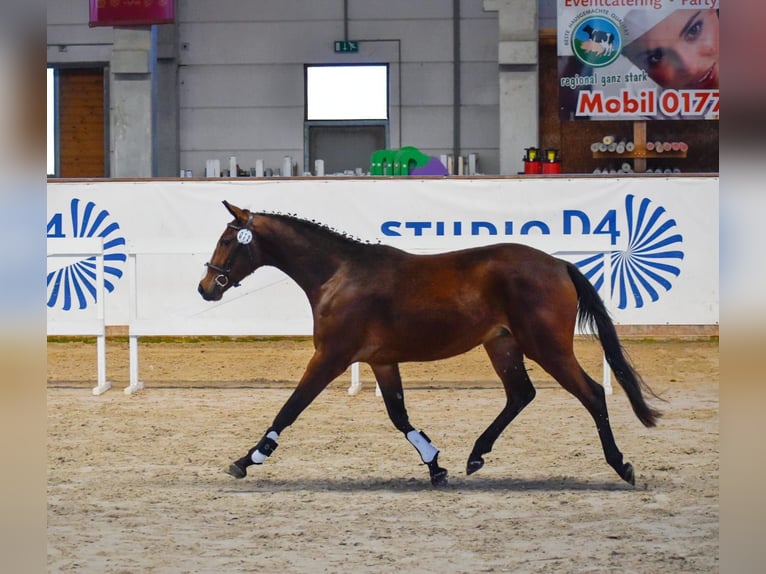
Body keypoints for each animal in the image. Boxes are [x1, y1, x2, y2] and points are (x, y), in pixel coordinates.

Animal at [198, 201, 661, 487]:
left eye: (227, 240)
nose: (206, 288)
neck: (339, 274)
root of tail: (560, 265)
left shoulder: (330, 356)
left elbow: (290, 407)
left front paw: (247, 460)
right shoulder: (381, 362)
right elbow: (399, 416)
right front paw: (435, 464)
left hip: (548, 347)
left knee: (592, 394)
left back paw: (621, 465)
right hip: (503, 345)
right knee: (520, 394)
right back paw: (476, 455)